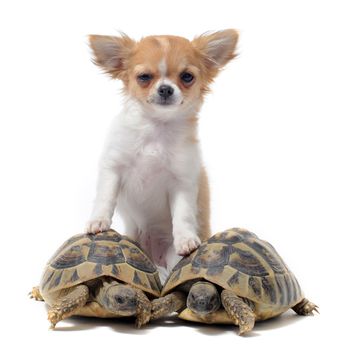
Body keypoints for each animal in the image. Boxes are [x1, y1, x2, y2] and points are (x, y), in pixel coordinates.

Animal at [86, 29, 239, 282]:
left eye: (187, 77)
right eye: (144, 77)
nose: (166, 89)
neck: (156, 129)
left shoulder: (182, 181)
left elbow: (183, 214)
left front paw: (186, 238)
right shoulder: (113, 167)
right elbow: (105, 197)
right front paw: (98, 220)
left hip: (170, 256)